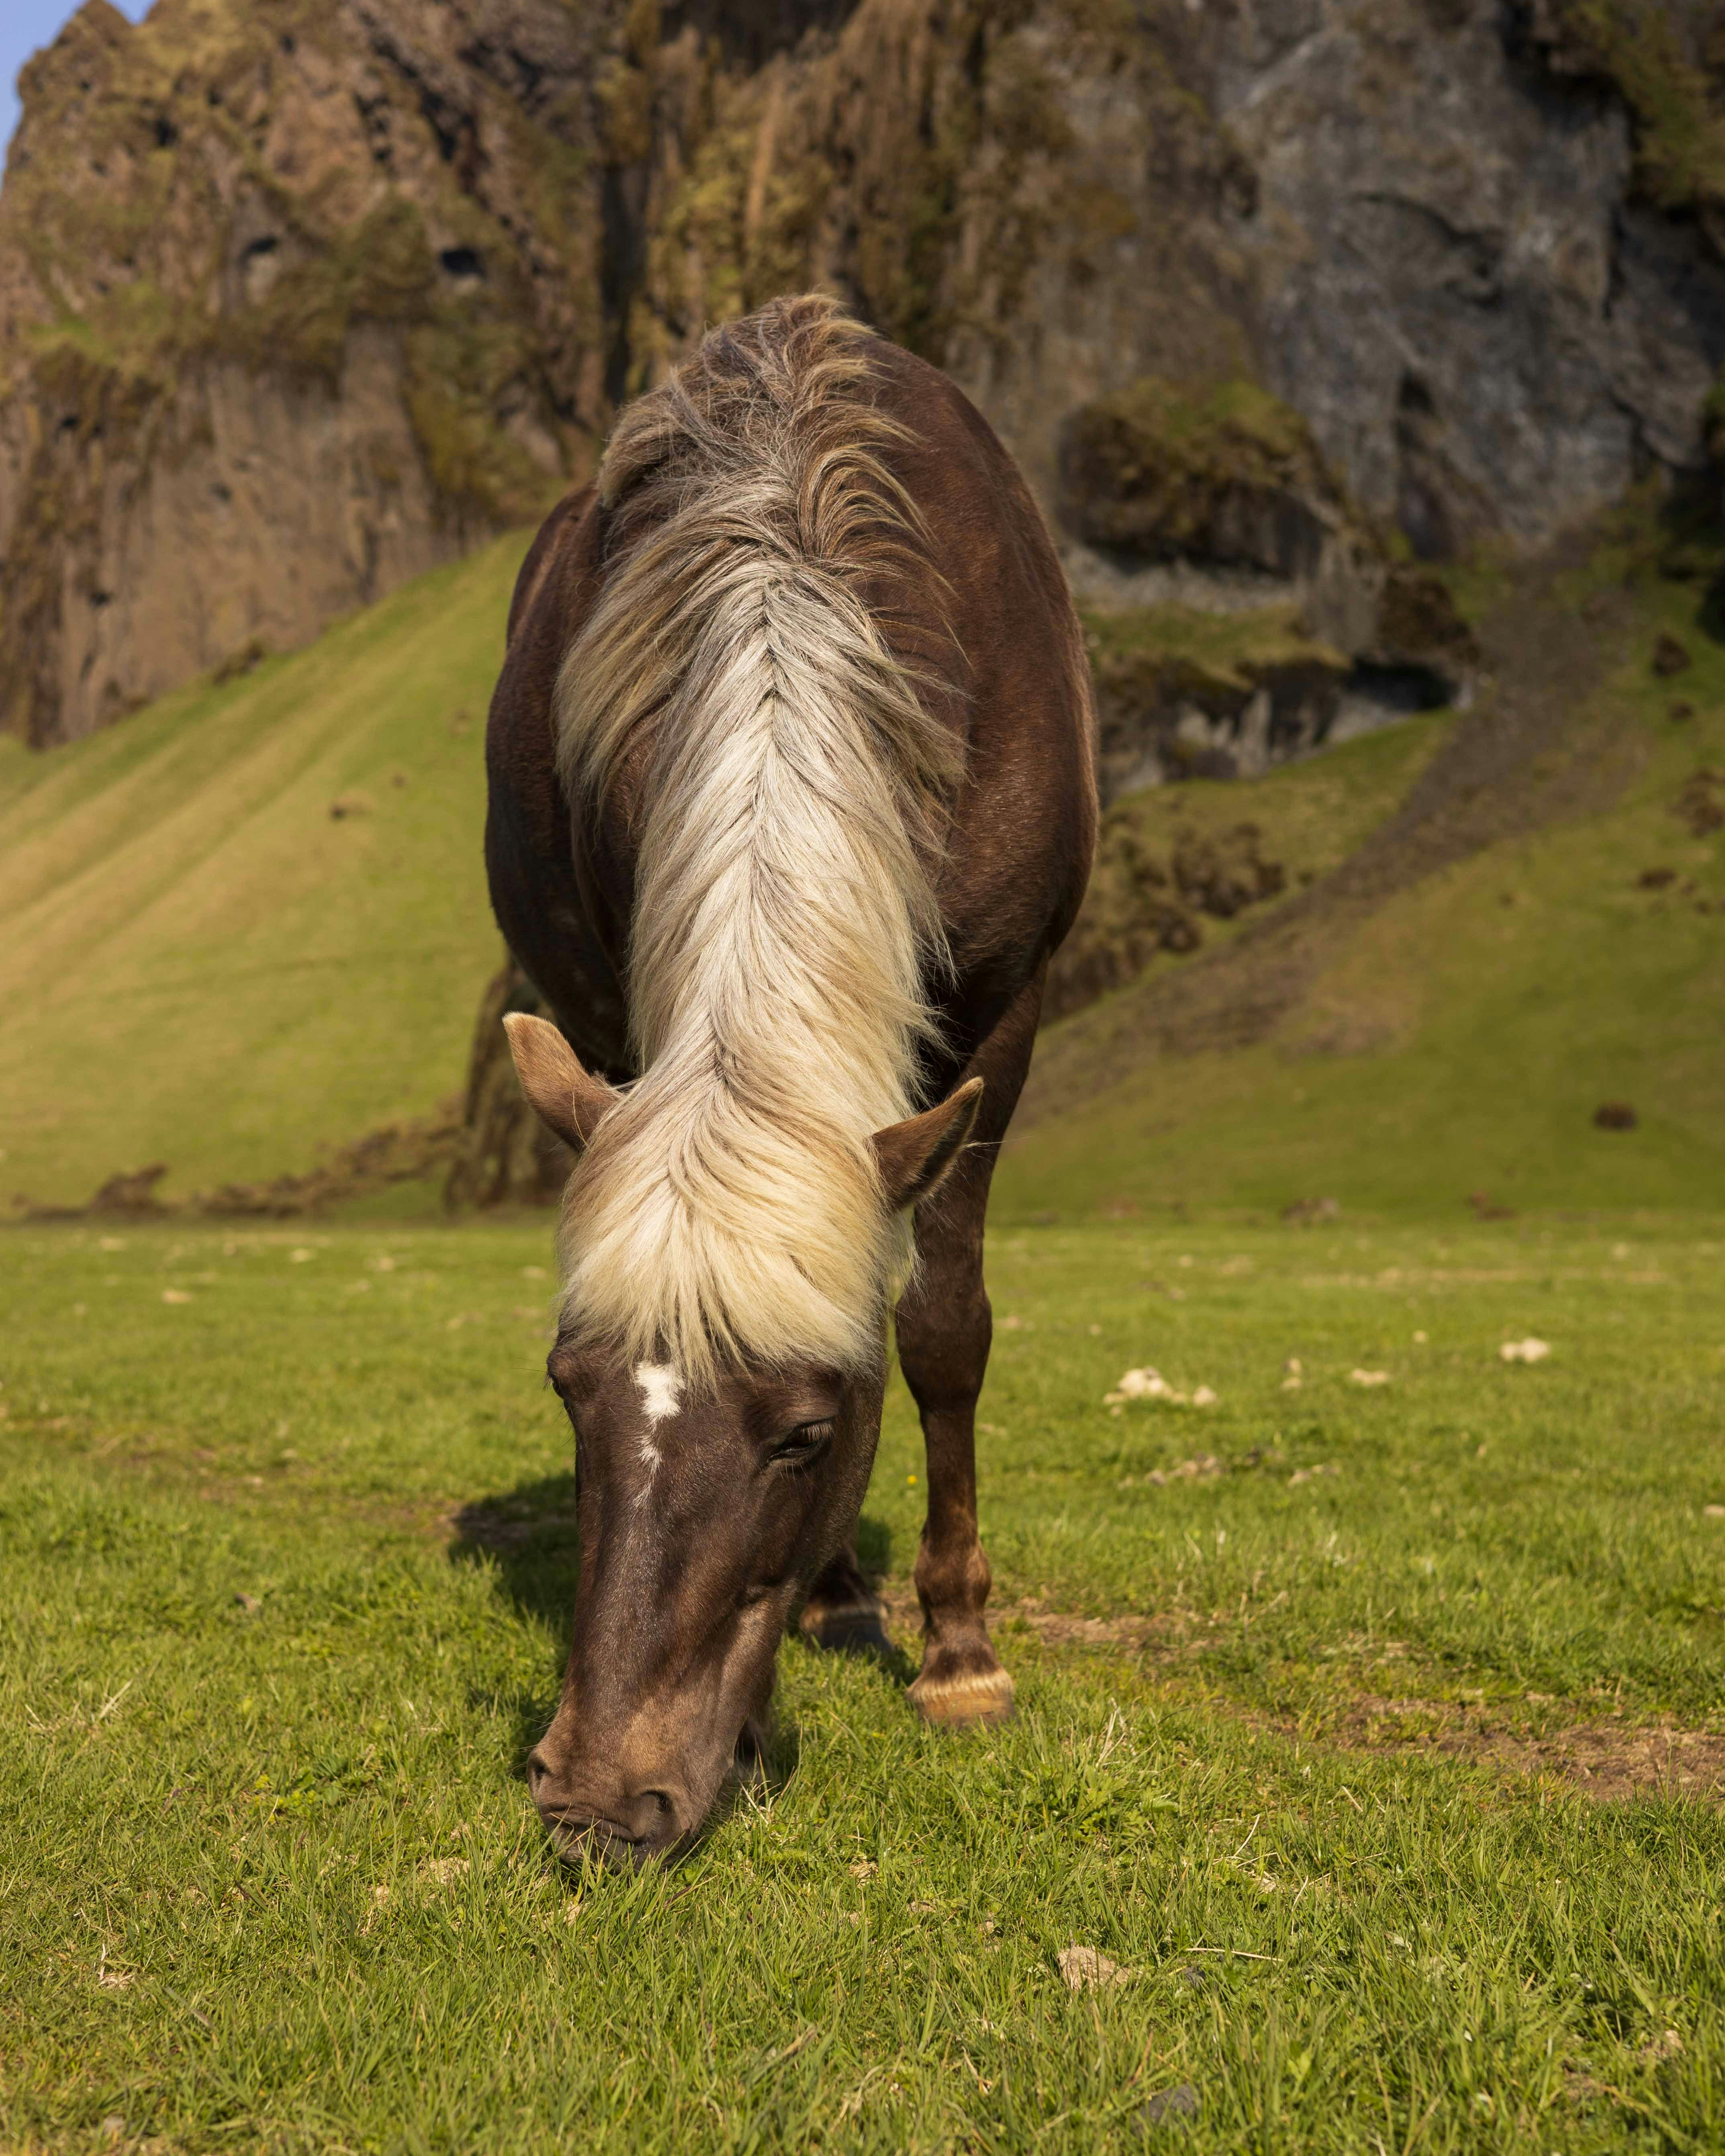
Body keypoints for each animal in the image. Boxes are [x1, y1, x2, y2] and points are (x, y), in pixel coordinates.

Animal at [484, 294, 1095, 1863]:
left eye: (808, 1431)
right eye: (567, 1389)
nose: (600, 1799)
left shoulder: (1004, 1016)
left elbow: (940, 1327)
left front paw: (960, 1654)